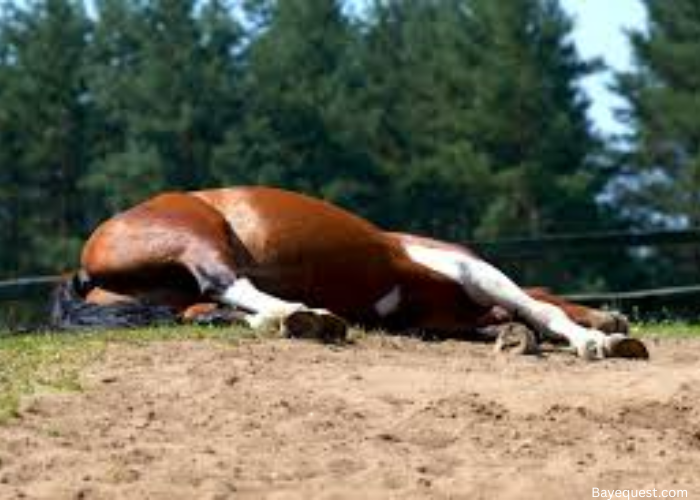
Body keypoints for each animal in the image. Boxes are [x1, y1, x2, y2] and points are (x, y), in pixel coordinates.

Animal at [51, 186, 648, 359]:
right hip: (196, 234)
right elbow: (540, 306)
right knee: (225, 283)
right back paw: (302, 313)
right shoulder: (470, 268)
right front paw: (596, 339)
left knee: (216, 310)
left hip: (177, 298)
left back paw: (299, 320)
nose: (616, 318)